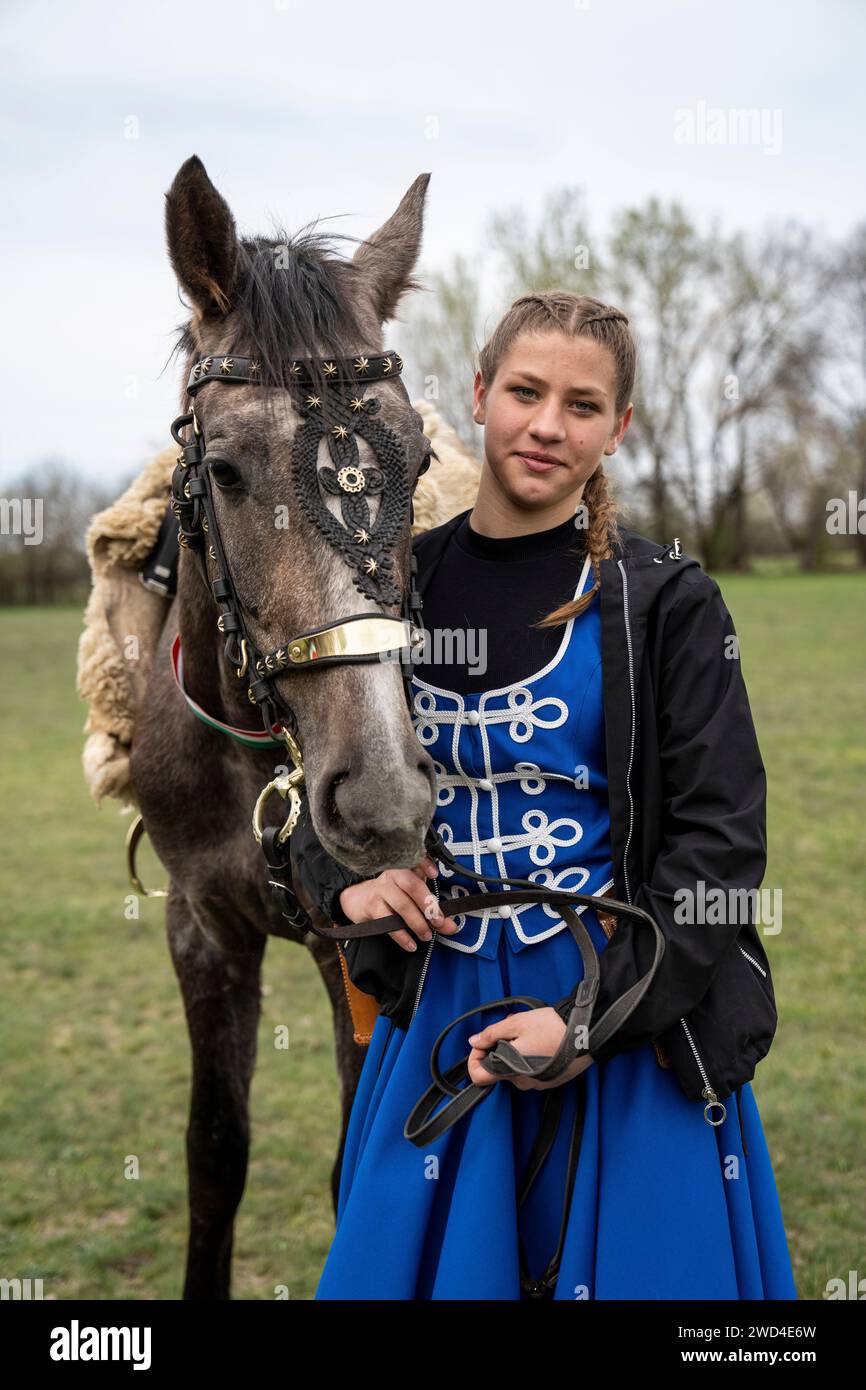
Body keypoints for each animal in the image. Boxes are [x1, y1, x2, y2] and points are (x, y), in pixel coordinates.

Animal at [131, 157, 436, 1295]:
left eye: (420, 459)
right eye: (221, 468)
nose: (385, 799)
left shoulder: (362, 951)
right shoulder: (202, 930)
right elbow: (215, 1153)